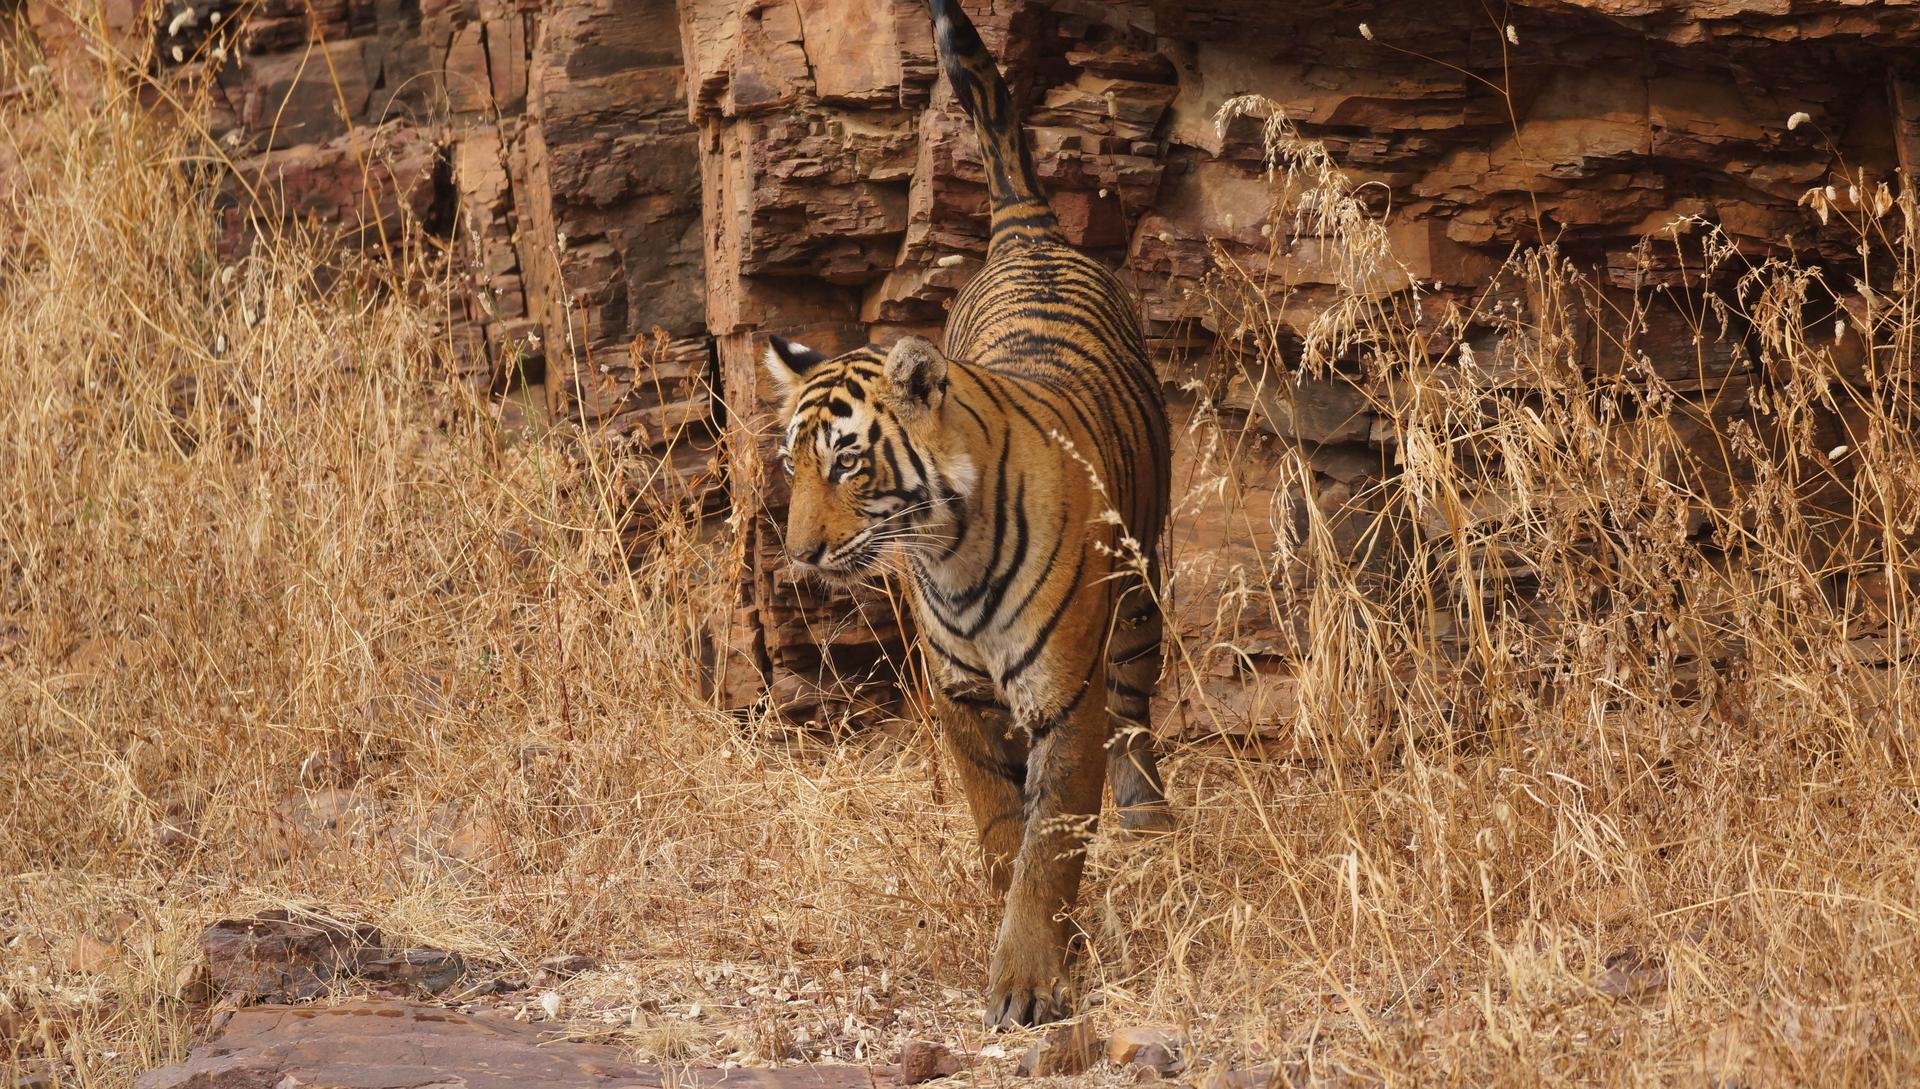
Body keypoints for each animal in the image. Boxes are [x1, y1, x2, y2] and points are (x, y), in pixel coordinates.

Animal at [760, 0, 1167, 1029]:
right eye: (791, 464)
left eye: (847, 459)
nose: (800, 554)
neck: (951, 554)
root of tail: (1030, 235)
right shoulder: (964, 698)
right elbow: (999, 826)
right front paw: (1007, 920)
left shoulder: (1067, 696)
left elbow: (1050, 842)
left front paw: (1029, 979)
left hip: (1142, 586)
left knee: (1139, 703)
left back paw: (1151, 814)